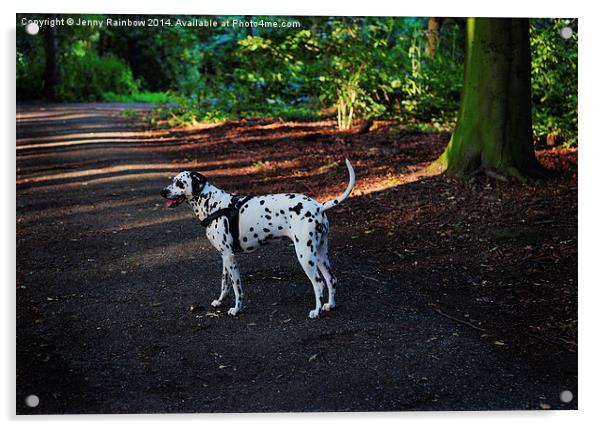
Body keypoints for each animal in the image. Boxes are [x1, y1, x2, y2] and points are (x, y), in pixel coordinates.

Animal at [159, 159, 354, 316]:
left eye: (179, 183)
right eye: (173, 181)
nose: (162, 192)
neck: (213, 204)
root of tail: (318, 207)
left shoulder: (230, 257)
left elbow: (237, 287)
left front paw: (236, 309)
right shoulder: (224, 257)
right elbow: (224, 284)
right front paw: (220, 301)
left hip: (305, 256)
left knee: (319, 284)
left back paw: (317, 311)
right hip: (320, 255)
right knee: (331, 279)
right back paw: (330, 305)